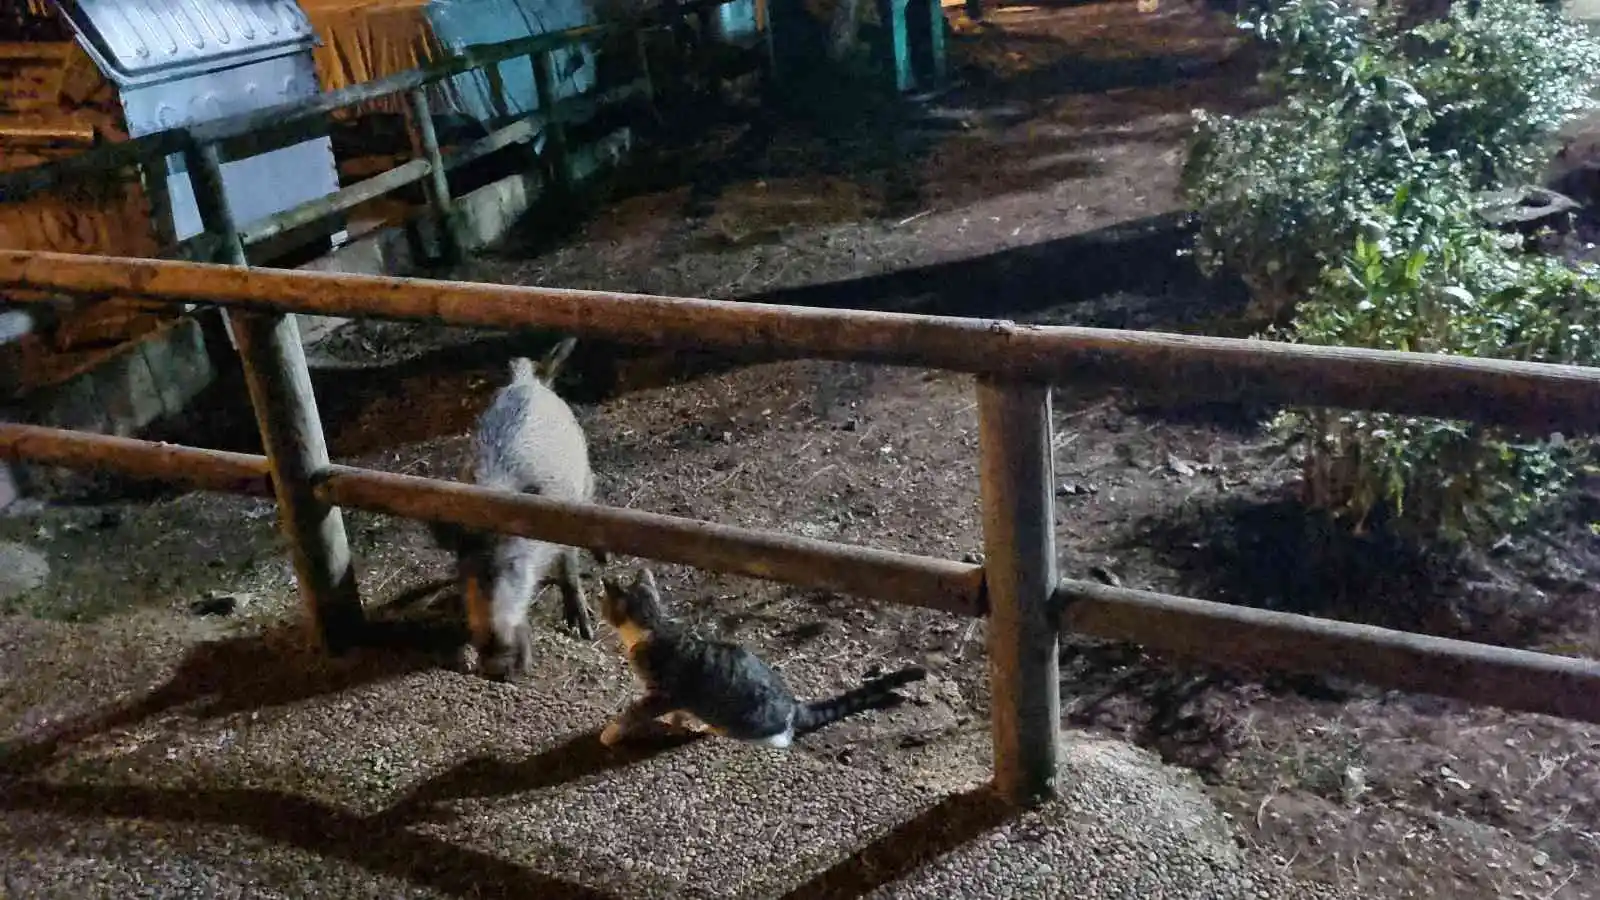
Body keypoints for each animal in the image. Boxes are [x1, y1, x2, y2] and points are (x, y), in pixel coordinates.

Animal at [598, 563, 928, 746]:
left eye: (603, 603)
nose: (598, 609)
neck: (652, 625)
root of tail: (793, 705)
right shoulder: (678, 697)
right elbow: (679, 712)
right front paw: (679, 724)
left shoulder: (663, 692)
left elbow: (634, 712)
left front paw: (611, 733)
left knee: (781, 738)